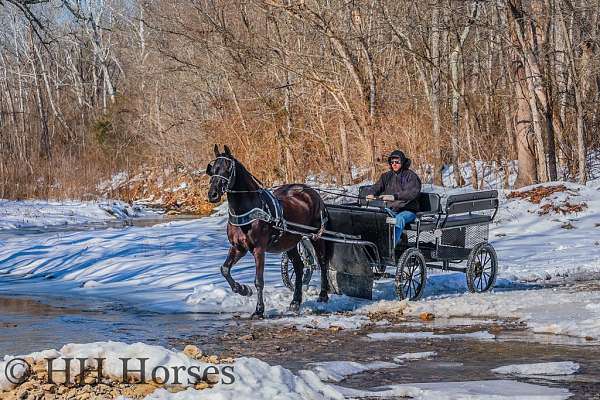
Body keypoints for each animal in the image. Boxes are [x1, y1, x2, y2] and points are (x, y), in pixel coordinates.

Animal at [205, 145, 328, 318]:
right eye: (213, 168)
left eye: (228, 169)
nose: (213, 194)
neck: (249, 210)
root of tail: (311, 191)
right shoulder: (238, 247)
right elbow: (225, 269)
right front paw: (243, 289)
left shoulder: (259, 249)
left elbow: (259, 281)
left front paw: (259, 310)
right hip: (290, 242)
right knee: (298, 267)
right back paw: (295, 302)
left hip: (316, 236)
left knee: (322, 262)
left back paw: (323, 295)